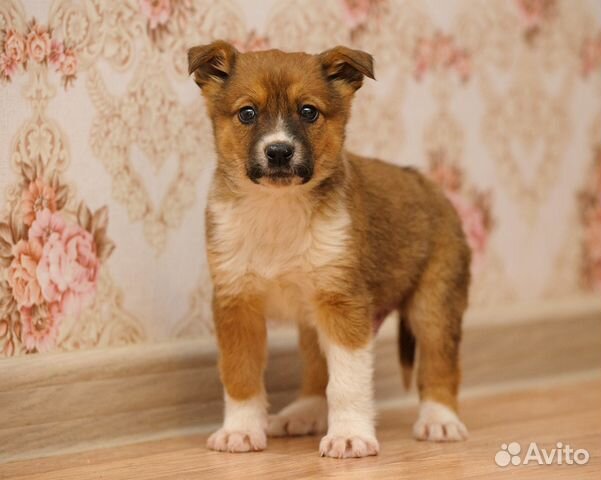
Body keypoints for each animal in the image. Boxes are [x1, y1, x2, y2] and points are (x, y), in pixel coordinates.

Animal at [188, 40, 468, 458]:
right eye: (247, 113)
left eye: (309, 112)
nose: (279, 152)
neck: (278, 210)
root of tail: (430, 185)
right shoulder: (237, 303)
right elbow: (241, 375)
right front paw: (240, 431)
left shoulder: (343, 305)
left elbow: (347, 383)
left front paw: (350, 436)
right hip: (311, 319)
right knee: (317, 370)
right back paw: (303, 413)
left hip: (433, 305)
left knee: (440, 365)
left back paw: (440, 420)